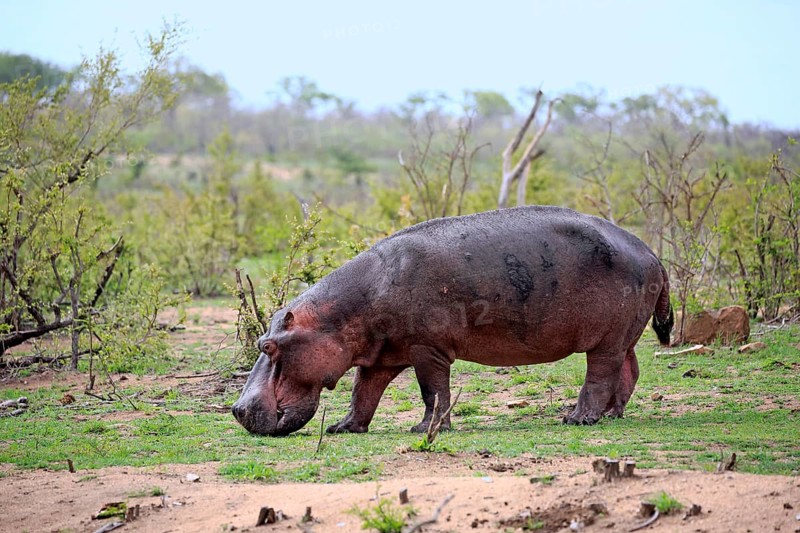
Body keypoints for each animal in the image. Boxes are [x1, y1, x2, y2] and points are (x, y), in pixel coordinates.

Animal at [232, 205, 673, 436]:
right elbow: (362, 393)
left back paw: (577, 418)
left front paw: (426, 429)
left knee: (599, 374)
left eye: (269, 345)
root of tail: (651, 252)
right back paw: (613, 414)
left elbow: (432, 391)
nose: (236, 410)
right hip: (624, 335)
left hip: (605, 338)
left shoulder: (427, 350)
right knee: (629, 369)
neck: (338, 315)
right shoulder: (381, 356)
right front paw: (342, 428)